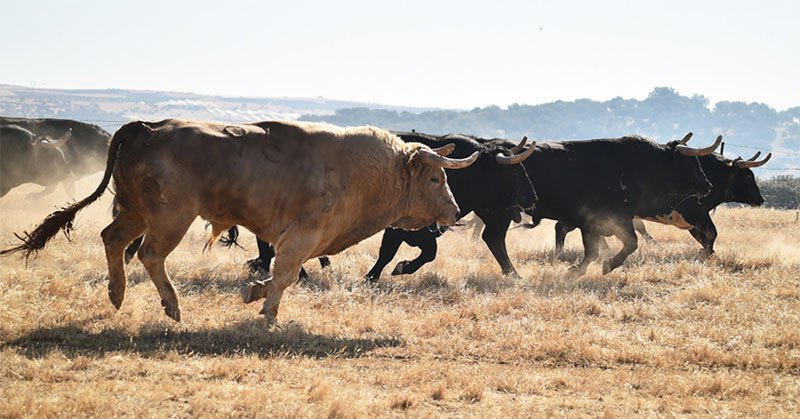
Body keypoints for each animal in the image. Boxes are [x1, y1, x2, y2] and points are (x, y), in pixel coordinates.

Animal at [1, 118, 476, 324]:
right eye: (435, 178)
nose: (454, 212)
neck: (361, 170)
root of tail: (147, 127)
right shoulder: (302, 235)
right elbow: (284, 274)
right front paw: (267, 310)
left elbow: (281, 274)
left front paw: (255, 293)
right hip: (170, 216)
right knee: (150, 253)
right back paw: (171, 305)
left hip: (136, 211)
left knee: (113, 239)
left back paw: (116, 294)